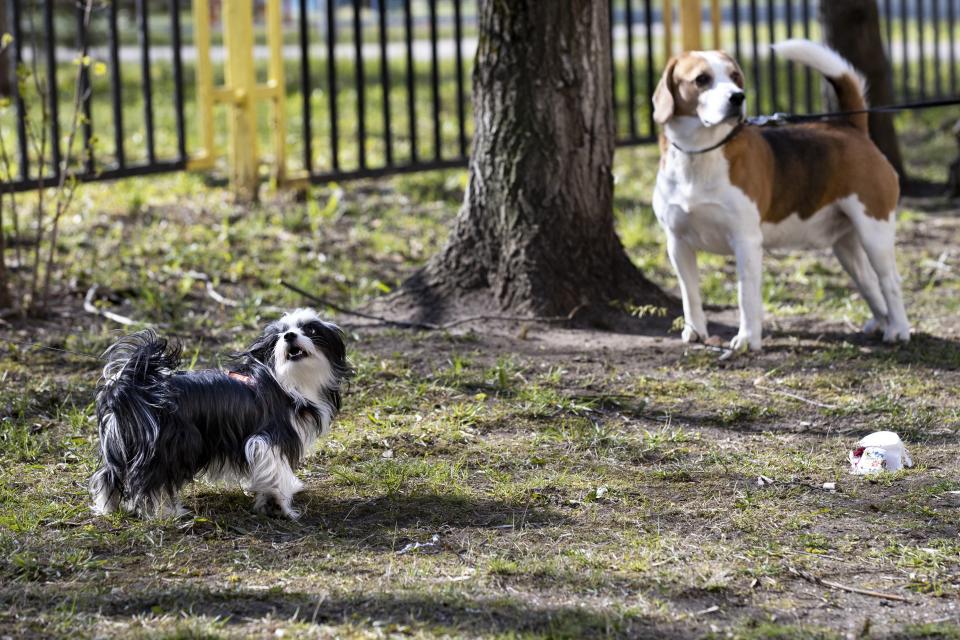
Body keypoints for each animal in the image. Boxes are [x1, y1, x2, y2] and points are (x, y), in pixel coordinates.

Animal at [88, 310, 350, 520]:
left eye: (311, 329)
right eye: (279, 335)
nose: (289, 336)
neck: (285, 381)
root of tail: (134, 386)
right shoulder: (268, 438)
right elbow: (276, 473)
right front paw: (280, 505)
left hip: (120, 443)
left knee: (107, 475)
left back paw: (106, 508)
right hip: (170, 447)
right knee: (152, 481)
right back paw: (166, 513)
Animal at [652, 38, 908, 350]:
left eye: (735, 76)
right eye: (702, 79)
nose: (738, 97)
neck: (700, 153)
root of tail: (851, 129)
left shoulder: (746, 241)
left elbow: (746, 296)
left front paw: (747, 339)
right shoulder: (677, 243)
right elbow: (689, 294)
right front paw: (695, 331)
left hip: (875, 232)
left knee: (890, 280)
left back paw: (899, 329)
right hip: (846, 246)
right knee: (869, 282)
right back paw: (882, 321)